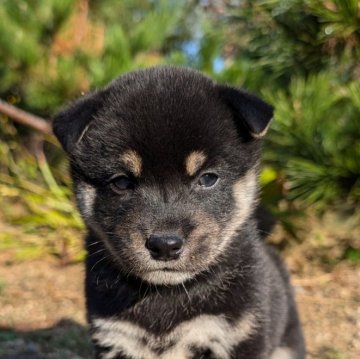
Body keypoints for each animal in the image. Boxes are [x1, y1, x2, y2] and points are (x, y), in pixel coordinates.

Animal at [53, 66, 306, 358]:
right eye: (121, 182)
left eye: (208, 178)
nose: (164, 245)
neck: (165, 295)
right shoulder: (116, 338)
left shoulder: (237, 333)